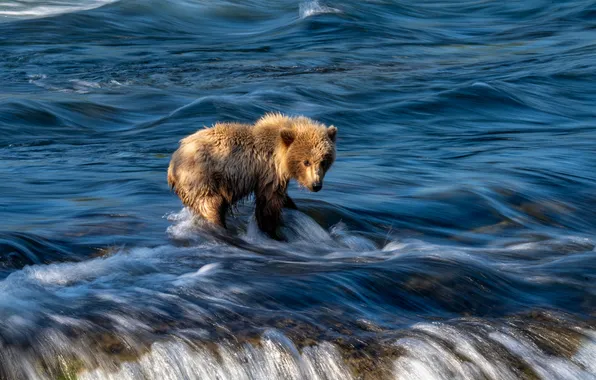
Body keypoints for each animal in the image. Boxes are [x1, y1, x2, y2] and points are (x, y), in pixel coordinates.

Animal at [166, 112, 336, 238]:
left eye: (324, 161)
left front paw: (291, 207)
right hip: (201, 179)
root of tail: (172, 165)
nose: (316, 185)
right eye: (306, 162)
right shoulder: (268, 173)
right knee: (211, 205)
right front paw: (271, 230)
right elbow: (269, 203)